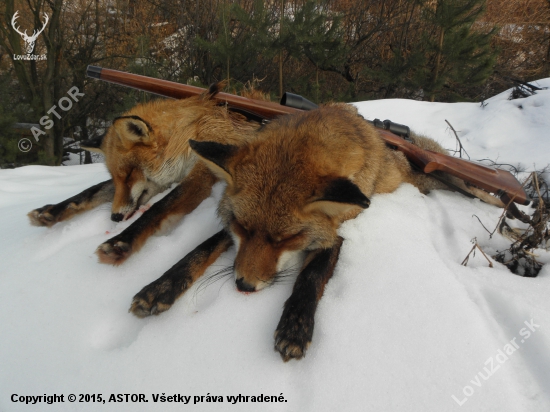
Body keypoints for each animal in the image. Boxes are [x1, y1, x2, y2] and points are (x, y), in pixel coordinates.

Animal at [29, 85, 262, 266]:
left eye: (129, 174)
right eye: (117, 177)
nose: (114, 217)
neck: (191, 136)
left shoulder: (201, 177)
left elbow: (160, 206)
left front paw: (123, 240)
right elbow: (92, 190)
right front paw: (50, 211)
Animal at [129, 102, 504, 360]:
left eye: (287, 239)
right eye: (242, 227)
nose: (244, 286)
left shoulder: (338, 228)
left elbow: (310, 277)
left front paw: (295, 325)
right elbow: (199, 251)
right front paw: (161, 287)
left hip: (442, 181)